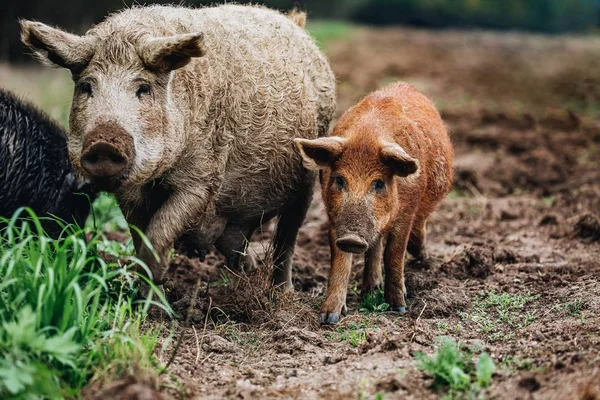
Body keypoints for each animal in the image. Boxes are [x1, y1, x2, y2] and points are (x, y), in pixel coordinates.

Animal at [21, 4, 336, 286]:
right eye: (87, 87)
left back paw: (282, 291)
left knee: (287, 237)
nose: (104, 143)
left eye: (143, 88)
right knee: (238, 243)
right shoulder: (130, 193)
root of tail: (295, 24)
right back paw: (244, 276)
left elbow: (160, 232)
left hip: (309, 175)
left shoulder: (202, 181)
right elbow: (141, 237)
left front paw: (155, 287)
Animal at [292, 83, 452, 324]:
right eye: (339, 179)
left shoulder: (407, 213)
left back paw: (419, 261)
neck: (367, 136)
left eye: (379, 183)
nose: (352, 238)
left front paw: (399, 308)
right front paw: (328, 318)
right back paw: (370, 290)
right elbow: (341, 259)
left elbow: (394, 254)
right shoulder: (334, 217)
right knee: (375, 245)